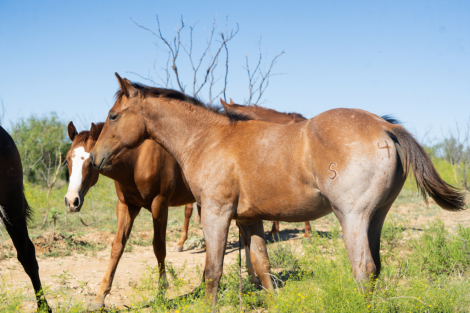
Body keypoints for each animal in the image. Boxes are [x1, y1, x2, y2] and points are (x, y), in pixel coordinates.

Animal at [63, 120, 198, 308]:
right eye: (67, 159)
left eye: (90, 162)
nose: (71, 201)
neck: (136, 161)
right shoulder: (126, 206)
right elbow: (117, 247)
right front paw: (100, 297)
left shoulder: (160, 204)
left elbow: (159, 246)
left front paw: (161, 291)